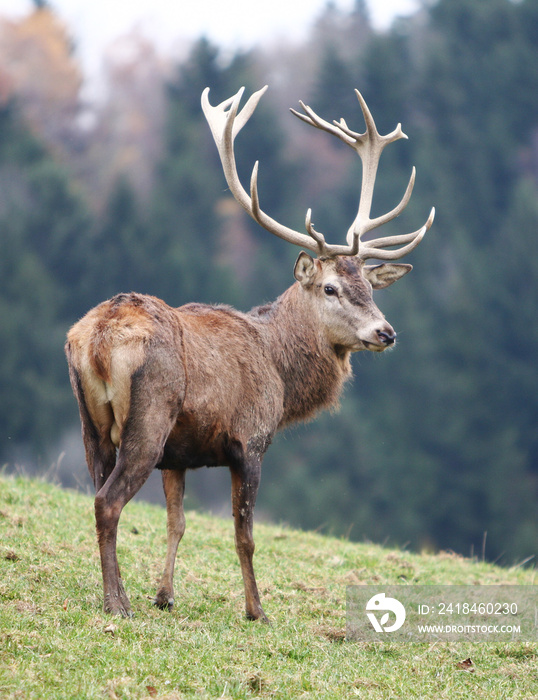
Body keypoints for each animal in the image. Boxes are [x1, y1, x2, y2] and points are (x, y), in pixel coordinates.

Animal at [65, 85, 434, 620]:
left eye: (369, 286)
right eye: (329, 288)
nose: (385, 333)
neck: (281, 372)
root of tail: (96, 337)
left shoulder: (179, 454)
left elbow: (177, 522)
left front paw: (165, 595)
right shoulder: (250, 440)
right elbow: (245, 536)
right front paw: (256, 609)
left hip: (90, 424)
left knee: (96, 491)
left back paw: (117, 594)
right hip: (149, 418)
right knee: (107, 501)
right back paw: (118, 603)